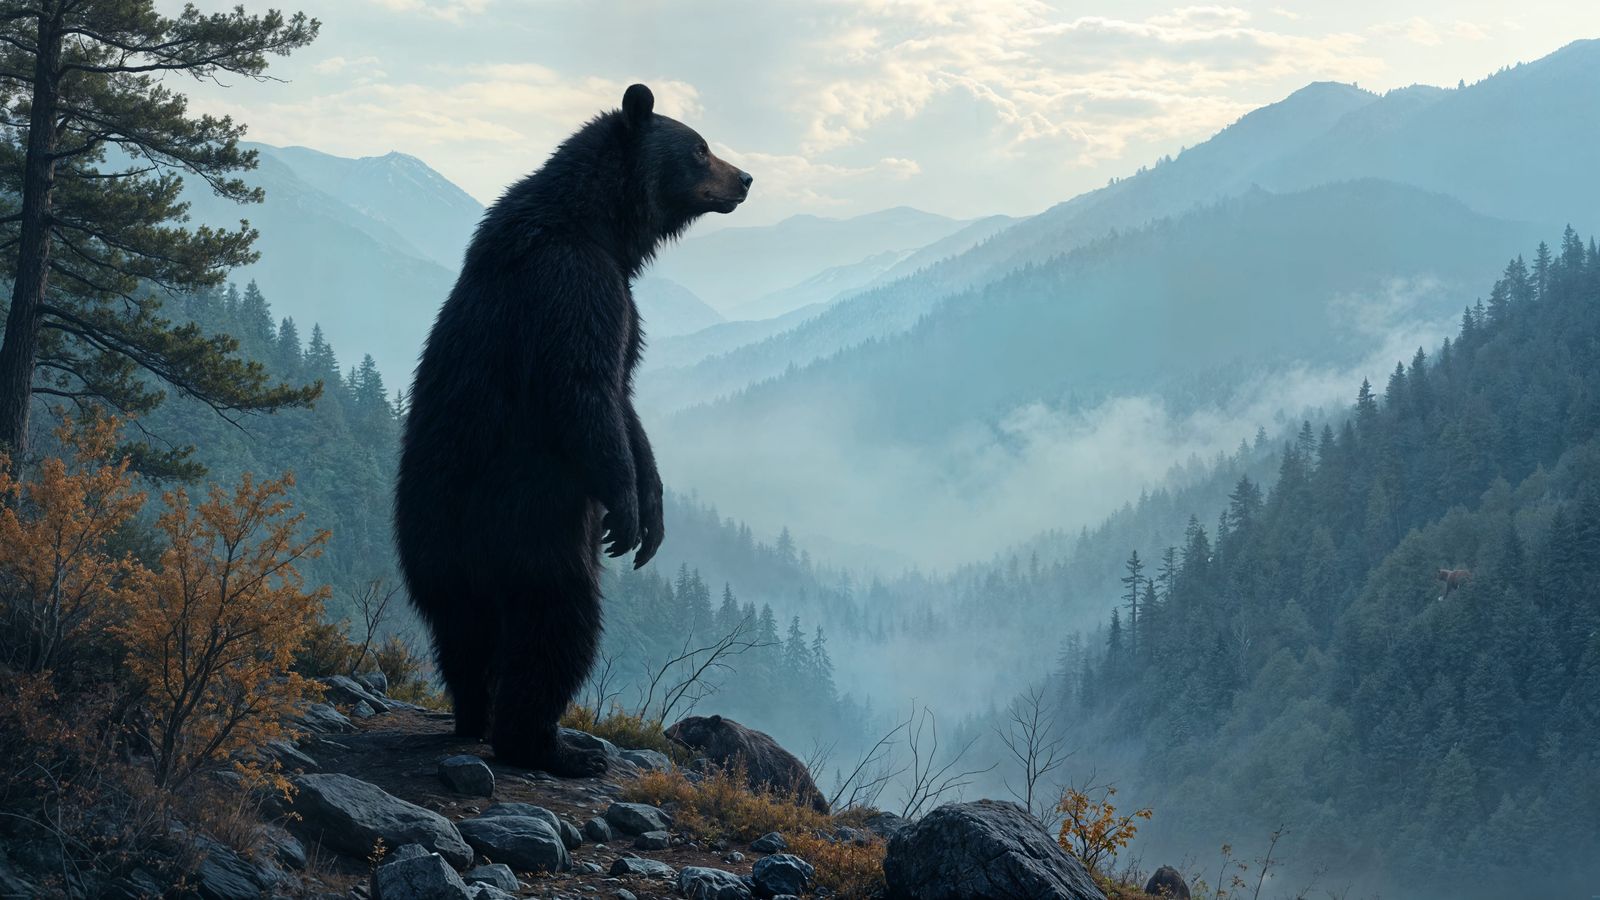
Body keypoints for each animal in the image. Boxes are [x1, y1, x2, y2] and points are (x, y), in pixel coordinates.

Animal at [394, 84, 751, 776]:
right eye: (699, 148)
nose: (745, 178)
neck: (601, 227)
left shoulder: (622, 300)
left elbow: (626, 397)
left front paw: (654, 507)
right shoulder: (577, 283)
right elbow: (585, 388)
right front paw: (629, 510)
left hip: (441, 558)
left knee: (464, 639)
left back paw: (474, 716)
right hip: (530, 529)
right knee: (558, 623)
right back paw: (546, 743)